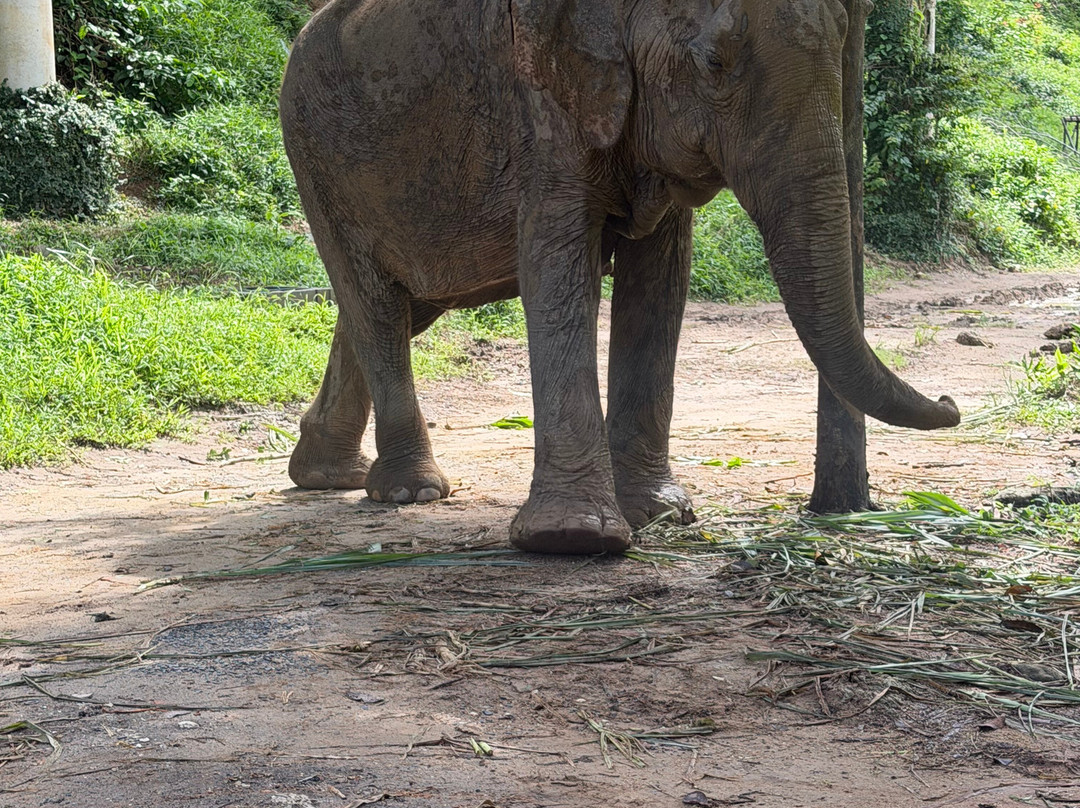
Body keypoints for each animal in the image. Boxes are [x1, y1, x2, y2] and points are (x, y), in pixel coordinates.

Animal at [278, 0, 960, 556]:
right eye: (714, 62)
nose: (952, 403)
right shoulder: (542, 99)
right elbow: (555, 257)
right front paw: (574, 539)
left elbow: (661, 274)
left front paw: (660, 516)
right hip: (317, 154)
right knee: (376, 304)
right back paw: (411, 494)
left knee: (401, 307)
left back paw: (328, 477)